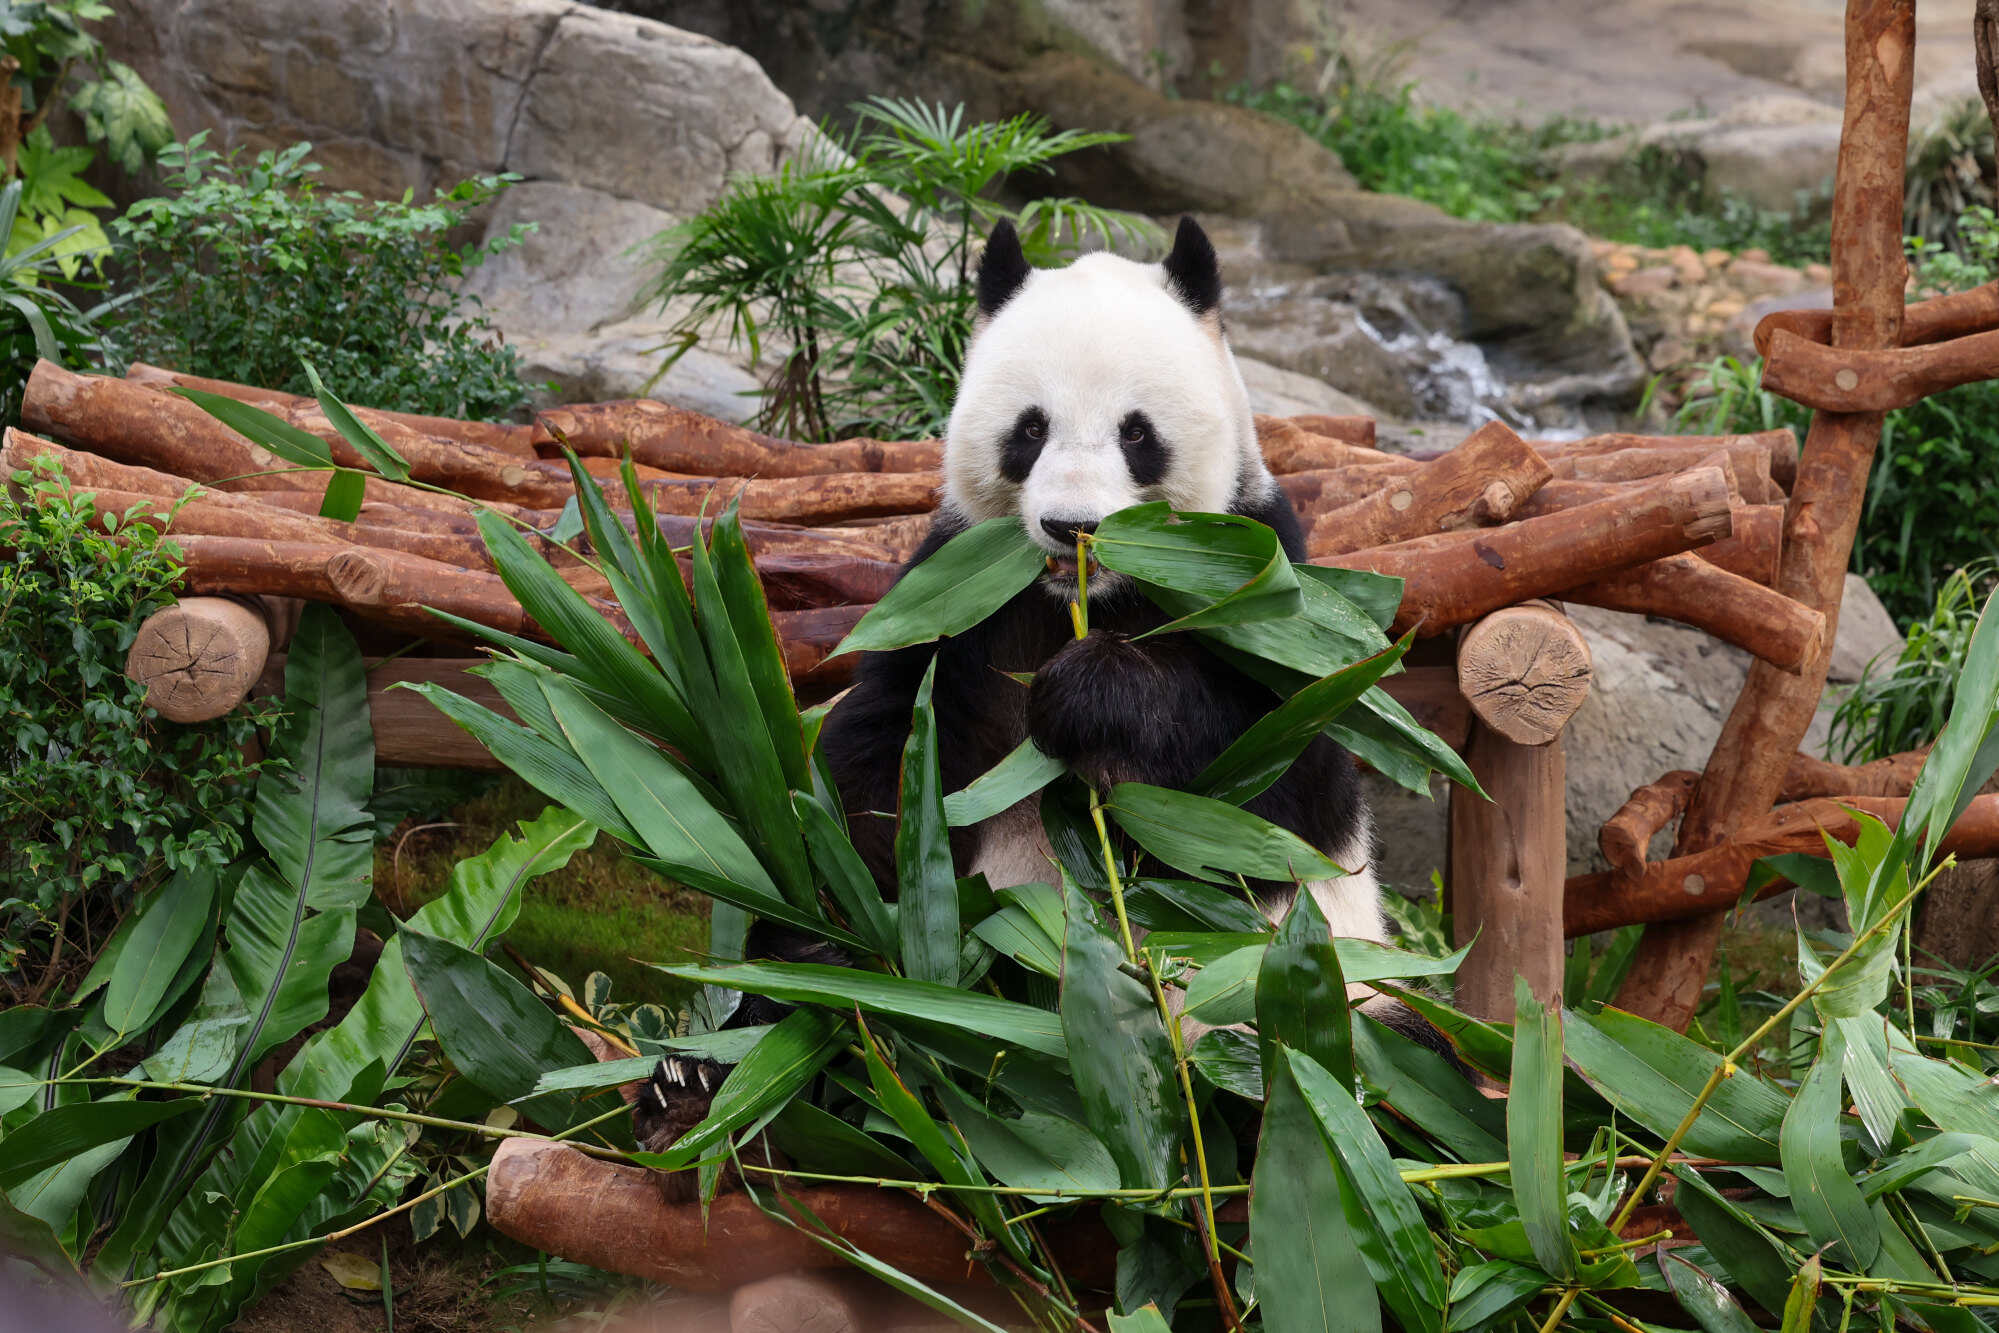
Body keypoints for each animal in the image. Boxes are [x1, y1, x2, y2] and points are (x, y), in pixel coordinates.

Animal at [636, 217, 1408, 1177]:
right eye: (1029, 429)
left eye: (1136, 433)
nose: (1072, 527)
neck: (1081, 597)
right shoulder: (957, 604)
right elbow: (884, 776)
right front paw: (824, 937)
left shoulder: (1263, 587)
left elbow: (1271, 799)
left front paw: (1088, 695)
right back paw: (699, 1085)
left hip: (1328, 1024)